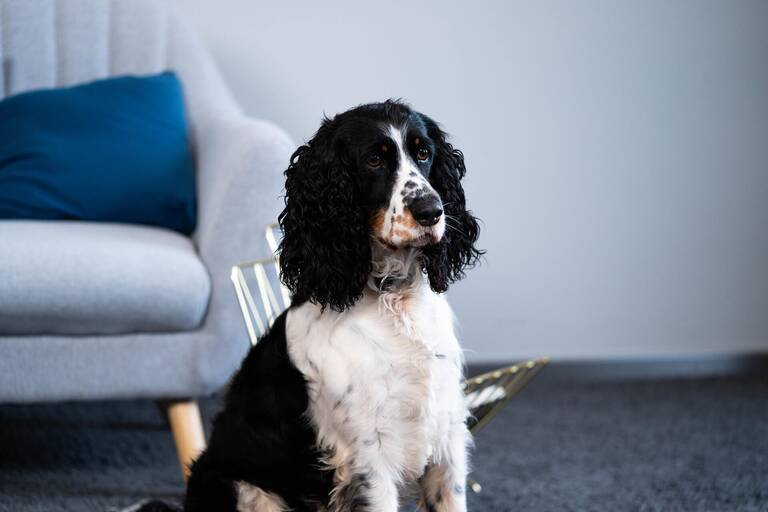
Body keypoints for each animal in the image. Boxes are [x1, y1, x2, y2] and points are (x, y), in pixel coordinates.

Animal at [142, 101, 484, 512]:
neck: (391, 297)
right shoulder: (369, 457)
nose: (432, 211)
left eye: (424, 152)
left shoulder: (446, 443)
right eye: (373, 160)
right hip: (242, 487)